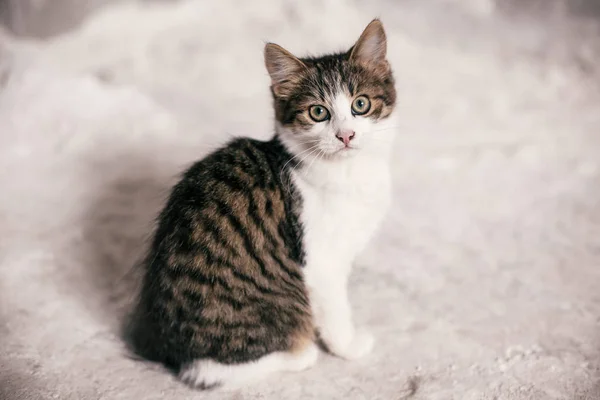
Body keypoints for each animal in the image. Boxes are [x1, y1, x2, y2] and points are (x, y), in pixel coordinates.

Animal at [127, 19, 398, 390]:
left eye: (361, 104)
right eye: (318, 112)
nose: (346, 135)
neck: (347, 172)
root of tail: (165, 349)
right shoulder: (321, 262)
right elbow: (336, 312)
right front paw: (349, 347)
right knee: (208, 370)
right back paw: (302, 354)